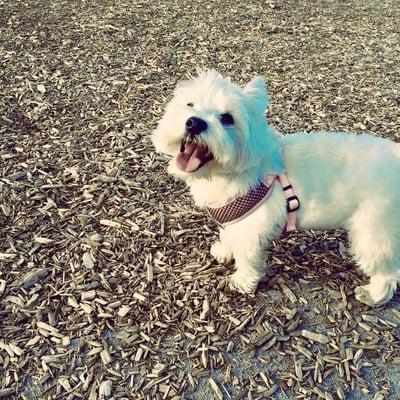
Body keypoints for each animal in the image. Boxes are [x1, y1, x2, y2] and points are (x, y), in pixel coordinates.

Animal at [151, 69, 400, 306]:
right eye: (190, 104)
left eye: (227, 118)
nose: (195, 122)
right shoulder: (233, 219)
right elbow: (229, 236)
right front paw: (224, 251)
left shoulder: (251, 230)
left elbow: (246, 257)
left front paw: (242, 281)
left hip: (373, 235)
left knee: (388, 273)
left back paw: (373, 295)